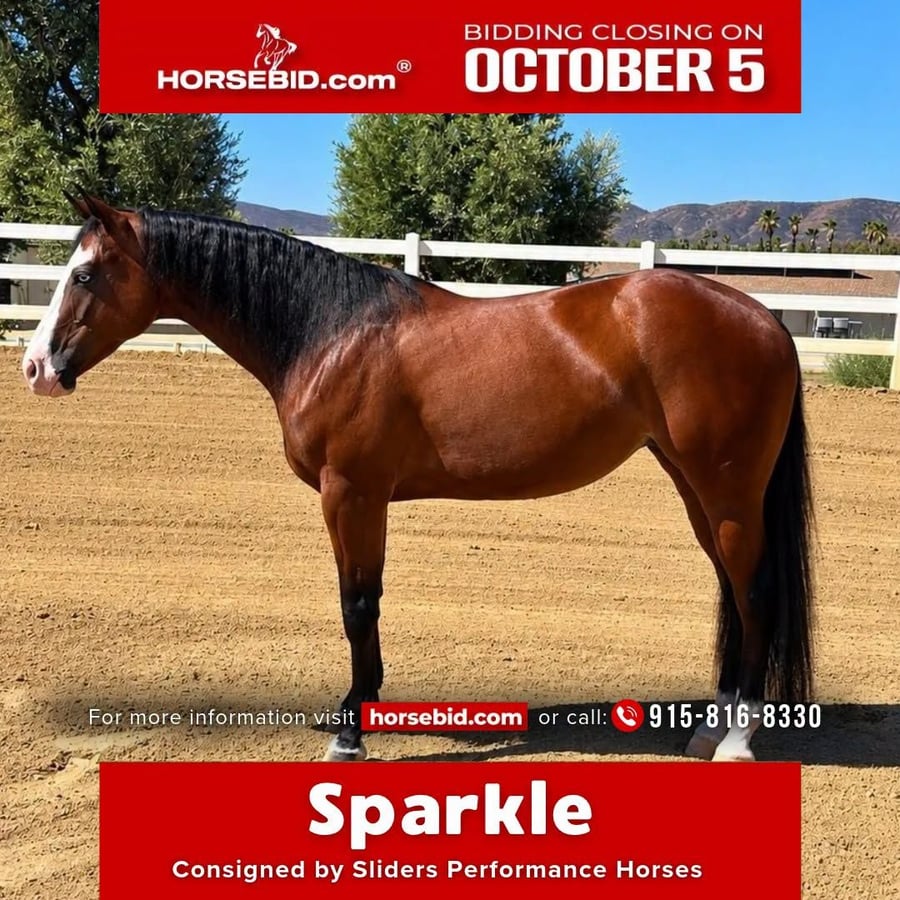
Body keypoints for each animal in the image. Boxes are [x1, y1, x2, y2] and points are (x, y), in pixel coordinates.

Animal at [22, 193, 814, 763]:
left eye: (84, 274)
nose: (35, 368)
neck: (330, 332)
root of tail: (766, 320)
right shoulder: (359, 499)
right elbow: (362, 604)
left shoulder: (352, 494)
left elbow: (357, 606)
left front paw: (351, 730)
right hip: (695, 486)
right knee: (731, 590)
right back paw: (709, 728)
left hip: (726, 490)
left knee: (754, 593)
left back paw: (737, 741)